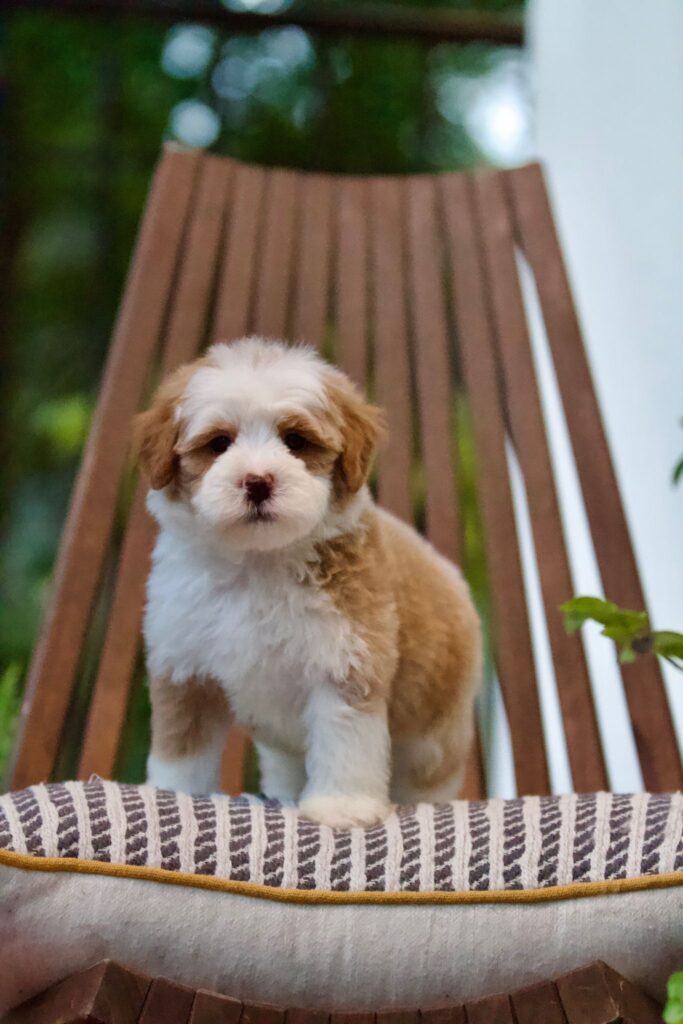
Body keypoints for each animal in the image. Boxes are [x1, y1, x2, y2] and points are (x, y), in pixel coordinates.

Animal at [136, 337, 483, 831]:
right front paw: (173, 792)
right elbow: (183, 741)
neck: (257, 564)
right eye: (219, 444)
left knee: (428, 775)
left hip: (436, 731)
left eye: (295, 441)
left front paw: (342, 807)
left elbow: (345, 740)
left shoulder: (346, 661)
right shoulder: (184, 664)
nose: (257, 482)